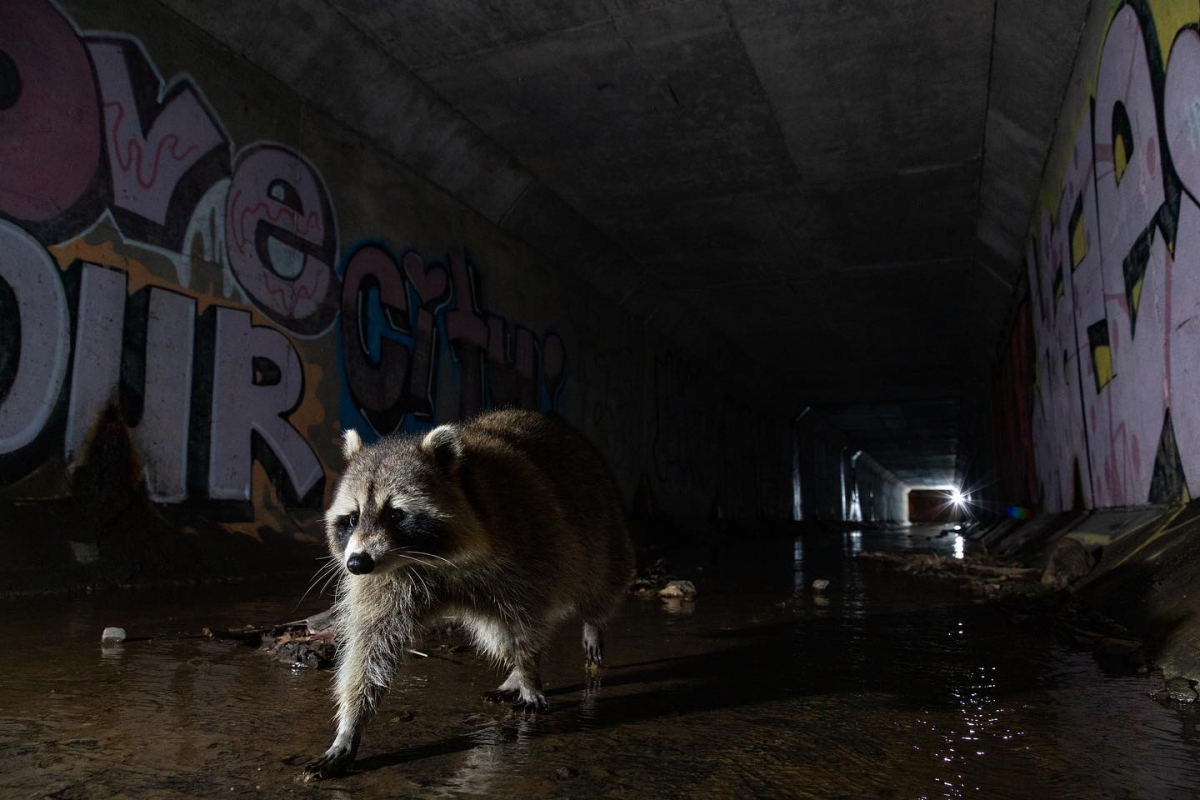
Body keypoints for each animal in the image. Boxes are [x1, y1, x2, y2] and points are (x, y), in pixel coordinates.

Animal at [304, 410, 633, 777]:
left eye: (395, 514)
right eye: (352, 517)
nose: (357, 563)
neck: (427, 559)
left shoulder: (527, 548)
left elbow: (527, 624)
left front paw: (529, 672)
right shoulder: (386, 581)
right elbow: (370, 647)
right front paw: (349, 726)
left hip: (599, 523)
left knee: (598, 580)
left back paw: (588, 625)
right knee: (495, 634)